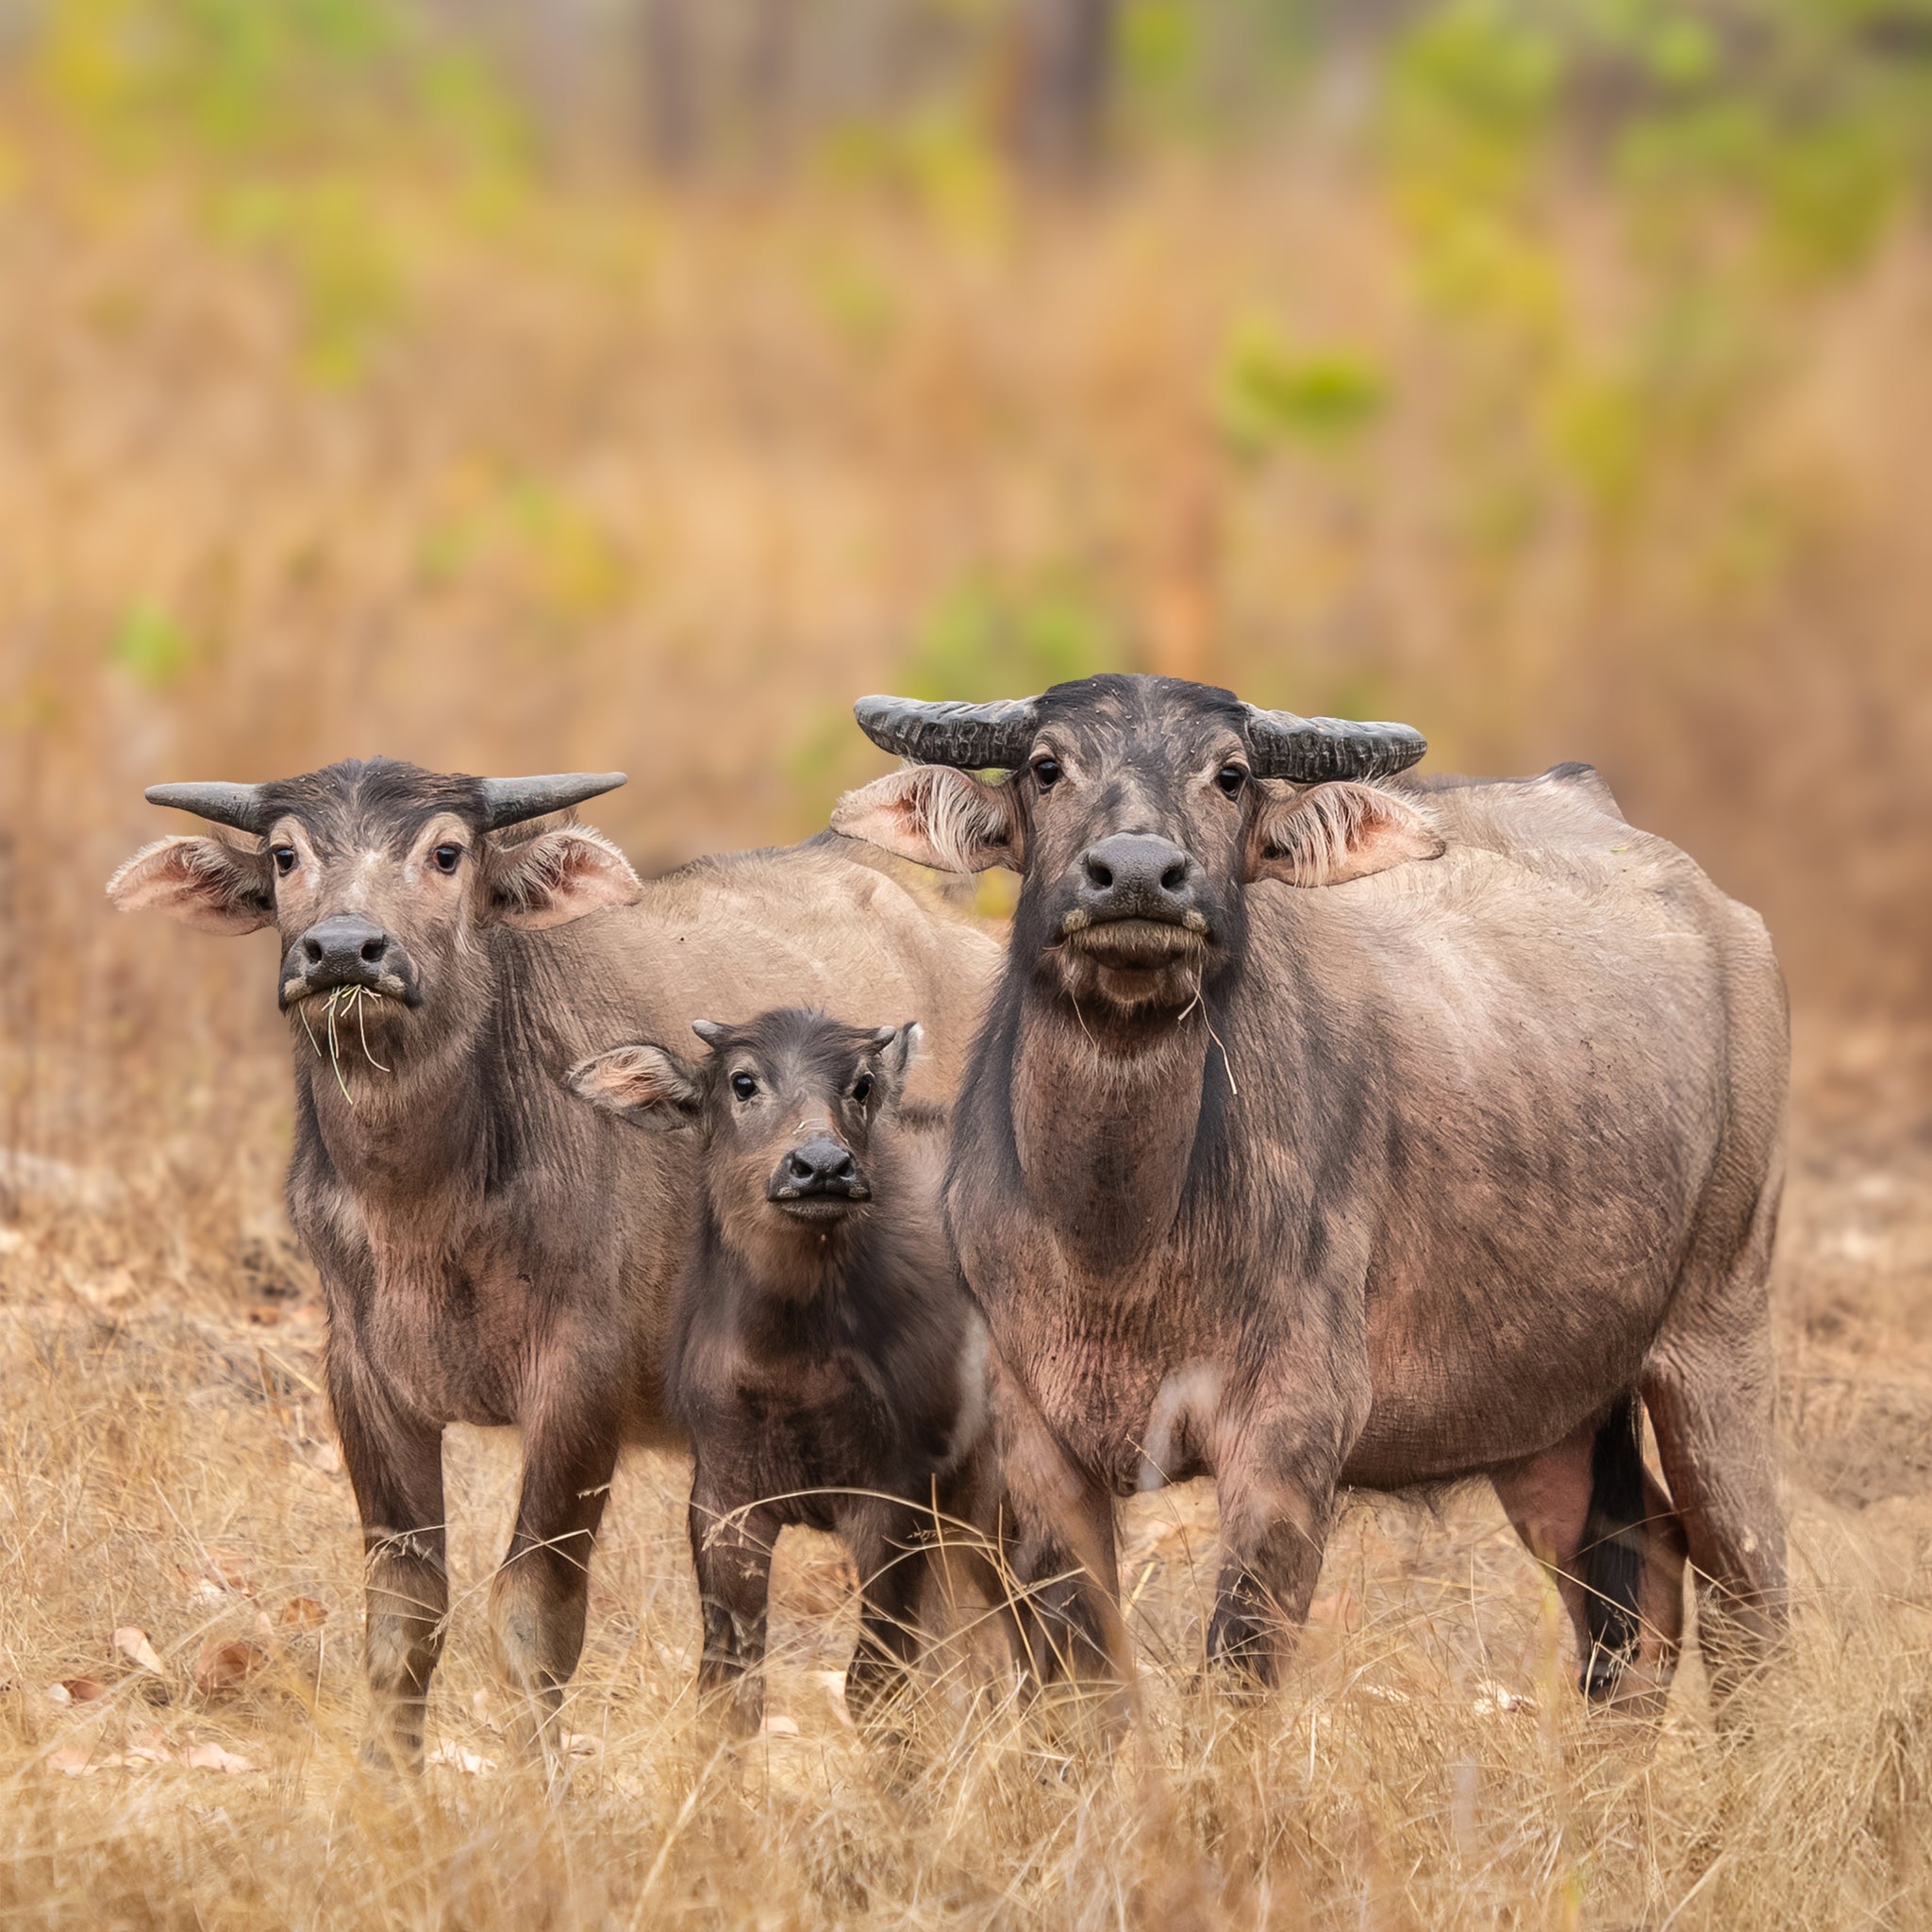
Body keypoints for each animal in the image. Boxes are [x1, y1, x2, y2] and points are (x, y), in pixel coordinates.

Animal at [564, 1012, 996, 1739]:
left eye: (862, 1084)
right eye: (743, 1082)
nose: (822, 1167)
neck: (790, 1368)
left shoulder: (894, 1501)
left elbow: (876, 1687)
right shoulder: (725, 1501)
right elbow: (729, 1686)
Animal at [823, 675, 1785, 1707]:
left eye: (1231, 773)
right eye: (1045, 766)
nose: (1135, 874)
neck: (1117, 1239)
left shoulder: (1289, 1437)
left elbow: (1235, 1670)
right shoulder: (1033, 1444)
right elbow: (1082, 1681)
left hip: (1714, 1339)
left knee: (1745, 1584)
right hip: (1546, 1412)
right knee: (1634, 1581)